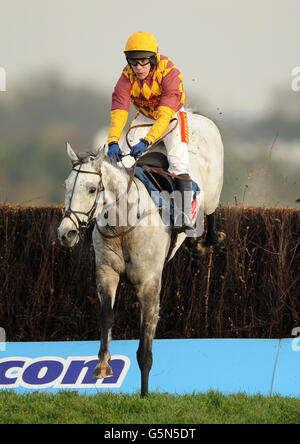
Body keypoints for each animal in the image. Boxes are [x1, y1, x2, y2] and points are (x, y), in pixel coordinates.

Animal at [57, 112, 224, 398]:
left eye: (91, 189)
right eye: (67, 185)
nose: (65, 232)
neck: (123, 225)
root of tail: (194, 114)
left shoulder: (149, 283)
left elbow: (146, 337)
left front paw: (145, 394)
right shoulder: (106, 273)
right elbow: (106, 316)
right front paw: (102, 366)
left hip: (211, 191)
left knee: (209, 213)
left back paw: (205, 242)